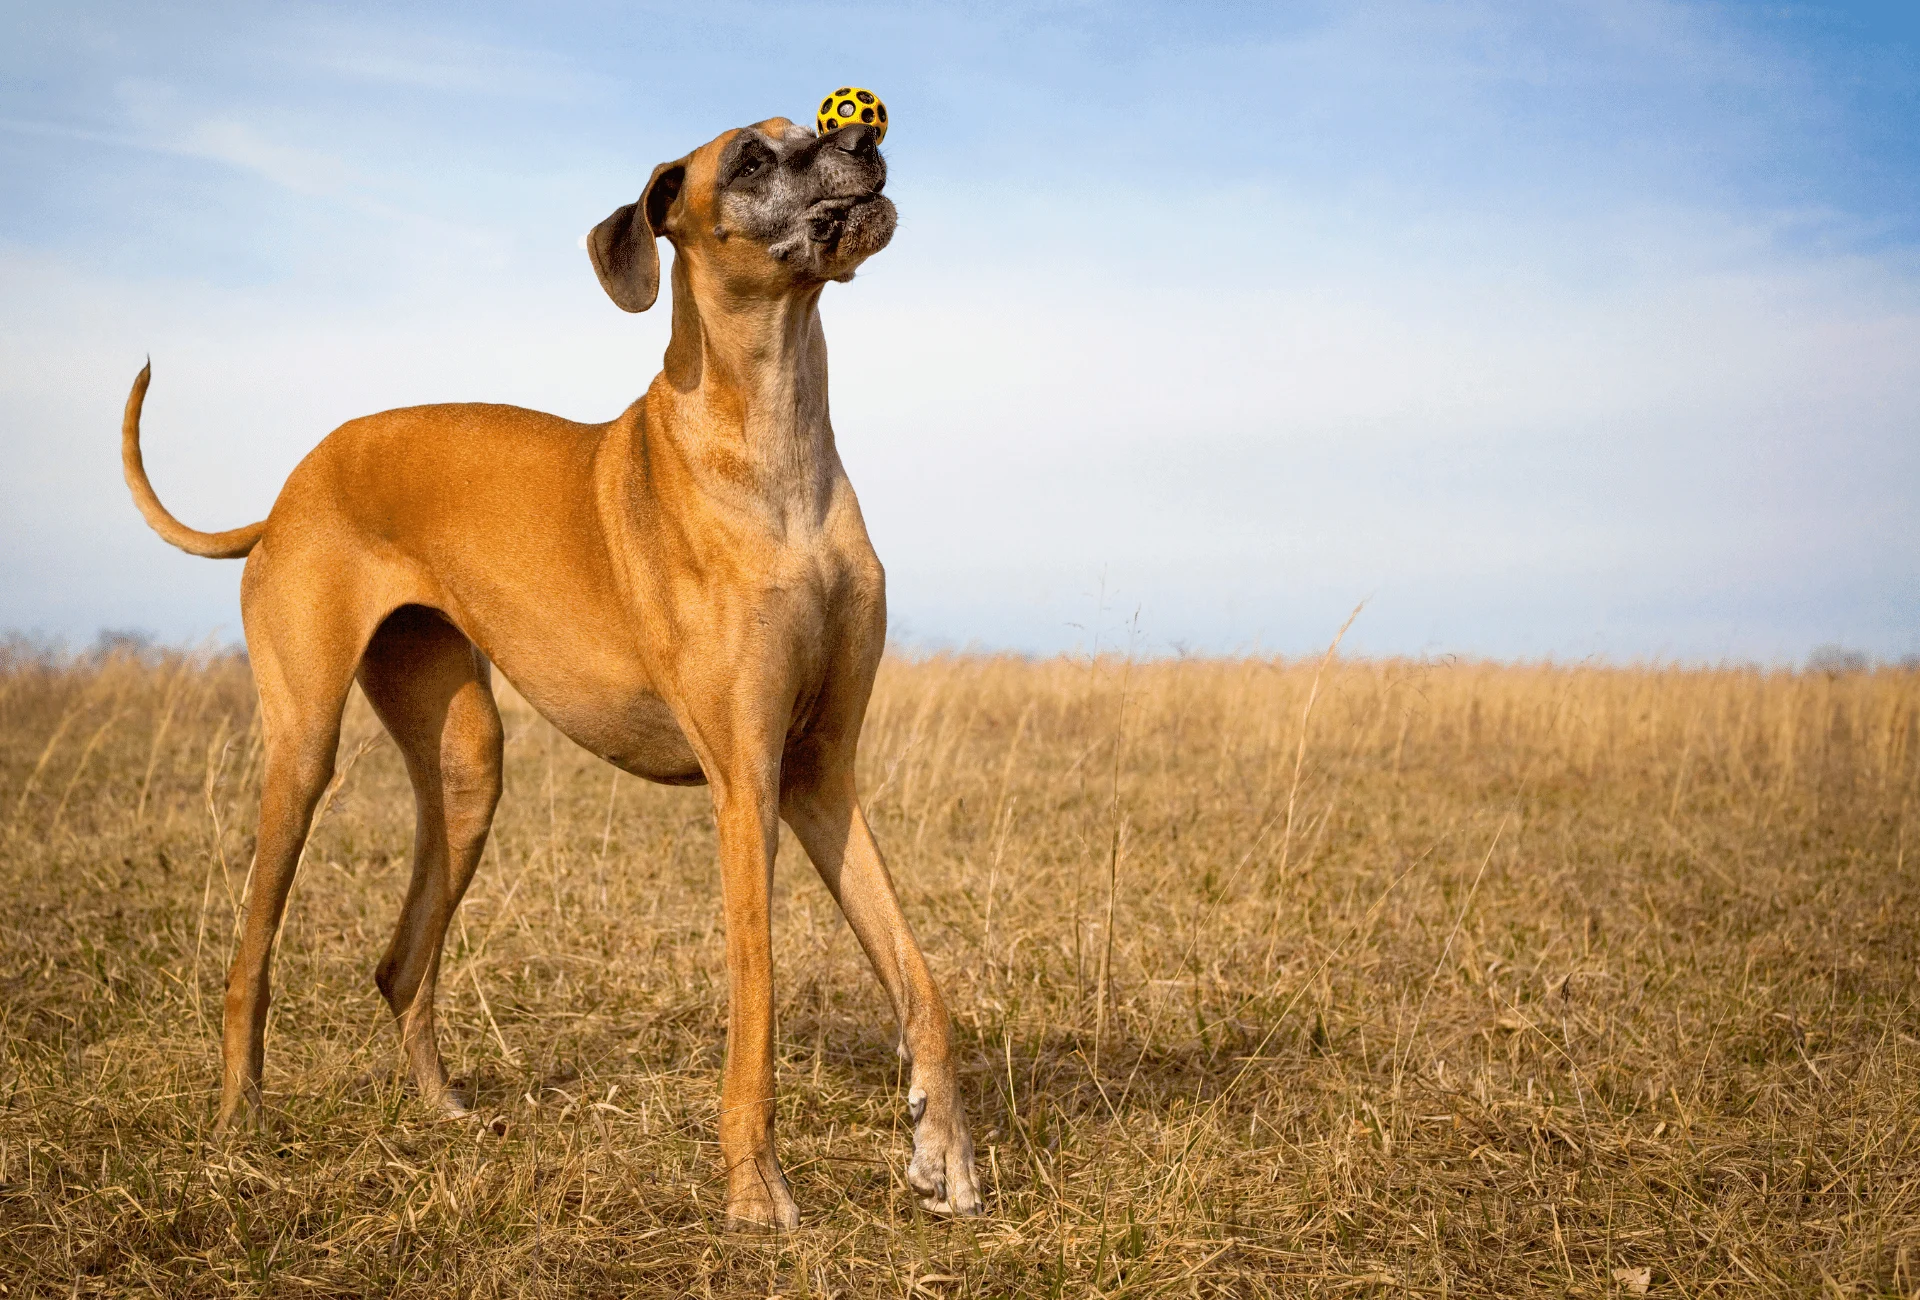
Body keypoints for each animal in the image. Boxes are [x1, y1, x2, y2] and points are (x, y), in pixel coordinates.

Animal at [120, 116, 983, 1221]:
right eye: (751, 158)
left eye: (813, 125)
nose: (866, 133)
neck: (773, 447)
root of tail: (285, 491)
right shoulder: (747, 785)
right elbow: (757, 997)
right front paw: (755, 1188)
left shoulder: (821, 774)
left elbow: (921, 978)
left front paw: (942, 1150)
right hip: (304, 750)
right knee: (250, 958)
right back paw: (239, 1125)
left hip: (466, 759)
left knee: (402, 962)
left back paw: (444, 1109)